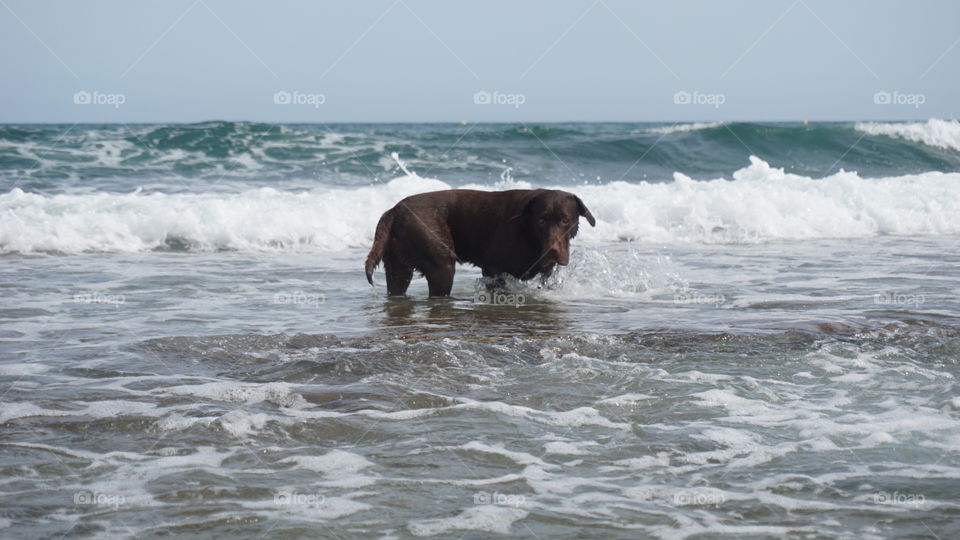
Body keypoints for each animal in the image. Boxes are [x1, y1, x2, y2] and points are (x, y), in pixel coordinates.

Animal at [366, 189, 592, 296]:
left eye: (565, 220)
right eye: (541, 220)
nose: (552, 250)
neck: (528, 233)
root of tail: (394, 210)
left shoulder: (547, 273)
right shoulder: (493, 269)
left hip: (398, 269)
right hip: (442, 267)